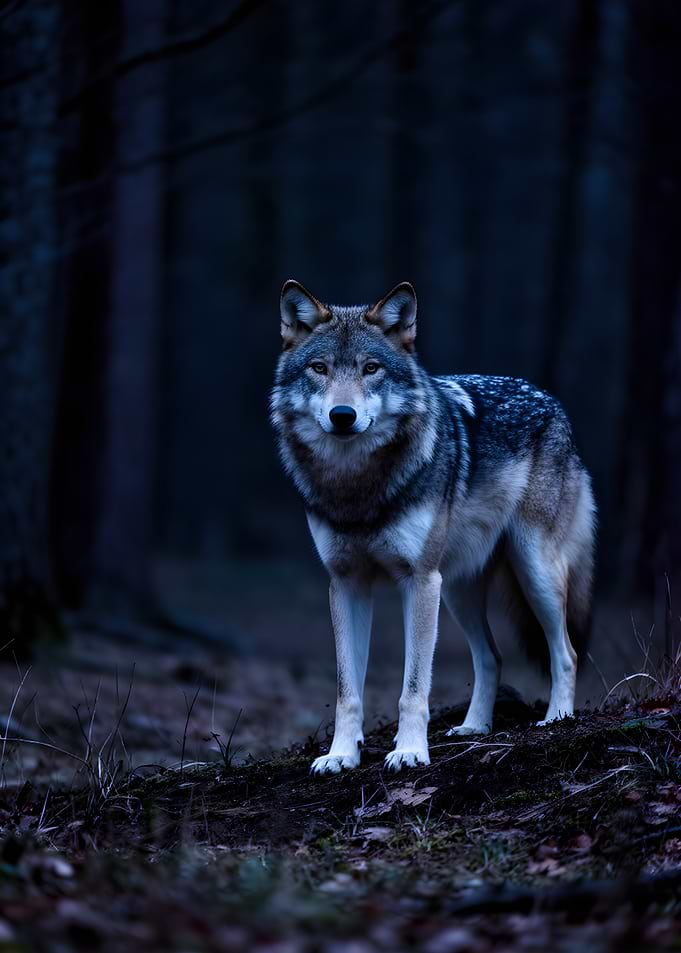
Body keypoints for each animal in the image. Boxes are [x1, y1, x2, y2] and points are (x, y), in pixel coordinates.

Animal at [270, 280, 596, 775]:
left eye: (370, 369)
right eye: (319, 368)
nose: (343, 415)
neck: (357, 486)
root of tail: (551, 401)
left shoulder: (418, 581)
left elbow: (413, 688)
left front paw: (408, 751)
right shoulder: (346, 584)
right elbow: (348, 692)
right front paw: (341, 755)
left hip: (532, 570)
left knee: (566, 652)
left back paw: (558, 718)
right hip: (458, 588)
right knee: (491, 657)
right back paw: (474, 727)